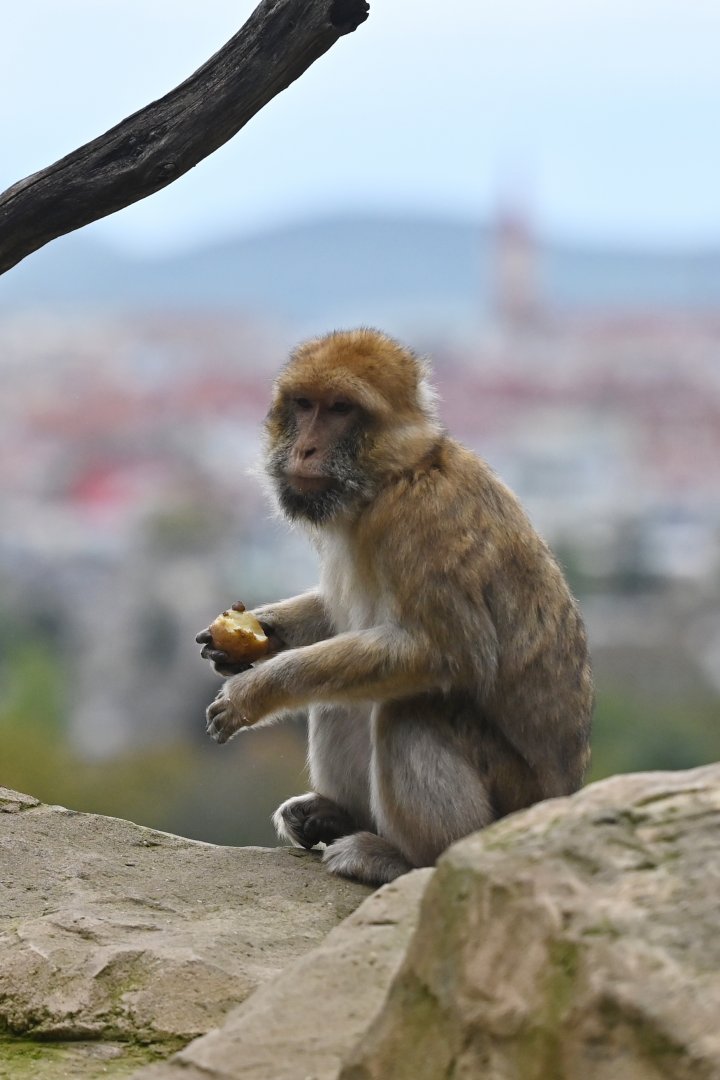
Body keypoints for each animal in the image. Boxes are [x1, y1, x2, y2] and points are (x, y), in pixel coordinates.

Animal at [196, 328, 593, 887]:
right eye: (305, 404)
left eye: (340, 409)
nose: (305, 447)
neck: (393, 476)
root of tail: (561, 800)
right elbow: (339, 619)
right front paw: (253, 638)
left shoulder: (423, 523)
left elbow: (447, 655)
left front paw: (256, 689)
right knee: (344, 691)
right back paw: (334, 815)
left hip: (510, 804)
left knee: (411, 709)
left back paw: (409, 858)